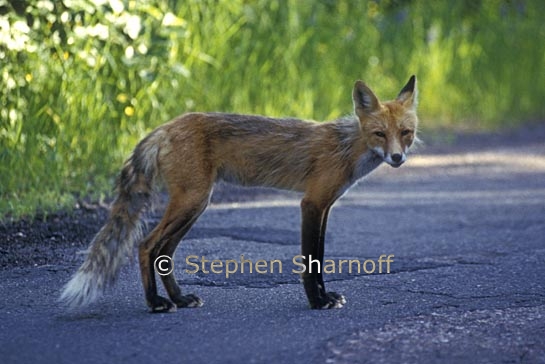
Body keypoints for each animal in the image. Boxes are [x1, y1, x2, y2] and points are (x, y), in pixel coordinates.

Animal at [60, 75, 416, 312]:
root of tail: (165, 127)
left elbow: (320, 255)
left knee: (165, 252)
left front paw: (324, 297)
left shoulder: (325, 205)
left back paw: (178, 298)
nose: (397, 158)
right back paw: (156, 303)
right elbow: (311, 259)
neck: (347, 148)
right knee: (147, 245)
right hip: (191, 201)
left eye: (405, 133)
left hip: (195, 206)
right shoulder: (311, 203)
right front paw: (317, 301)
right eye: (379, 134)